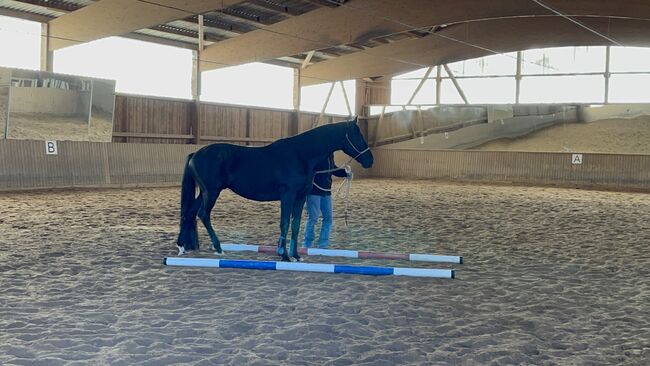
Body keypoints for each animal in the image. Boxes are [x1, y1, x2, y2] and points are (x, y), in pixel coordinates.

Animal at [175, 116, 372, 262]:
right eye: (358, 136)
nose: (370, 160)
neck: (300, 155)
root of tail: (195, 154)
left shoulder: (300, 197)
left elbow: (295, 224)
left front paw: (295, 255)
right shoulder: (288, 195)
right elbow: (284, 223)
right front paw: (283, 255)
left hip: (204, 193)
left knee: (189, 213)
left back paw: (182, 246)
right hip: (211, 192)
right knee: (202, 214)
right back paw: (218, 247)